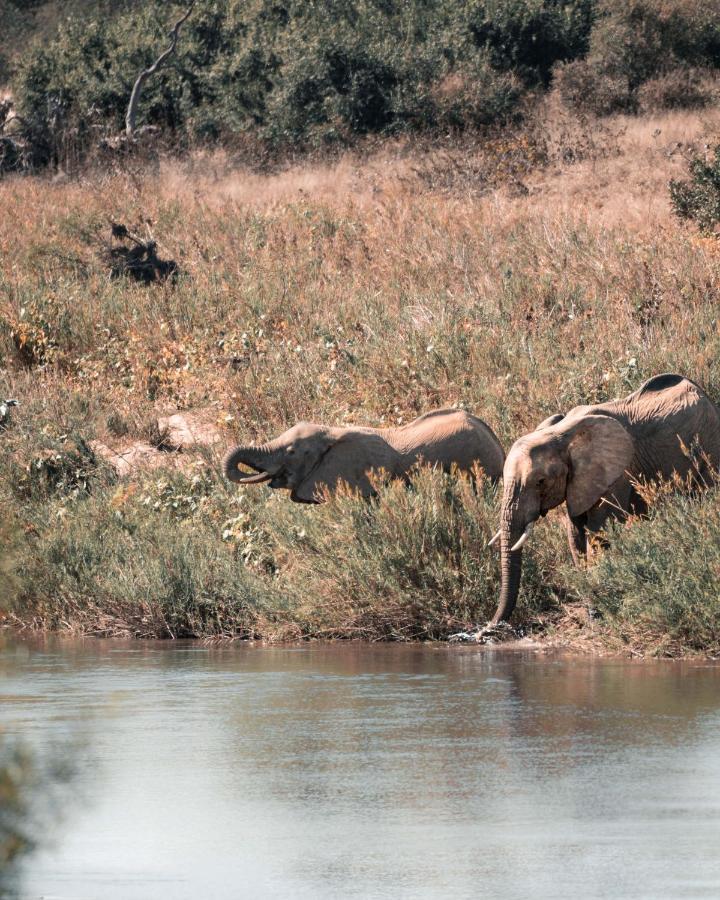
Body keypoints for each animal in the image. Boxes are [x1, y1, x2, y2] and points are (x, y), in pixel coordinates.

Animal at [486, 372, 720, 624]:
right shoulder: (578, 482)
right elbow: (575, 534)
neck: (561, 434)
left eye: (540, 482)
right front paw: (593, 608)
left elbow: (599, 533)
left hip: (709, 447)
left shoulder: (615, 475)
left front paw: (596, 610)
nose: (490, 627)